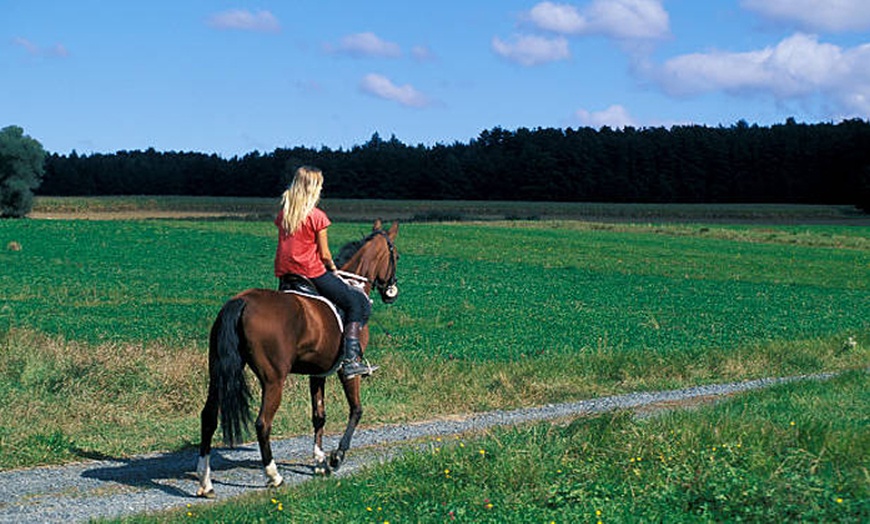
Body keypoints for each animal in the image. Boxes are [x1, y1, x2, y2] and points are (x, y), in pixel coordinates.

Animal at [196, 219, 400, 498]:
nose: (392, 292)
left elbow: (319, 415)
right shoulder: (345, 370)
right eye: (396, 256)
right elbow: (356, 409)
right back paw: (274, 476)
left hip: (218, 373)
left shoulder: (318, 372)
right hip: (273, 380)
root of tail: (241, 303)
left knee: (208, 418)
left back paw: (205, 482)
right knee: (263, 423)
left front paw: (320, 462)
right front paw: (336, 457)